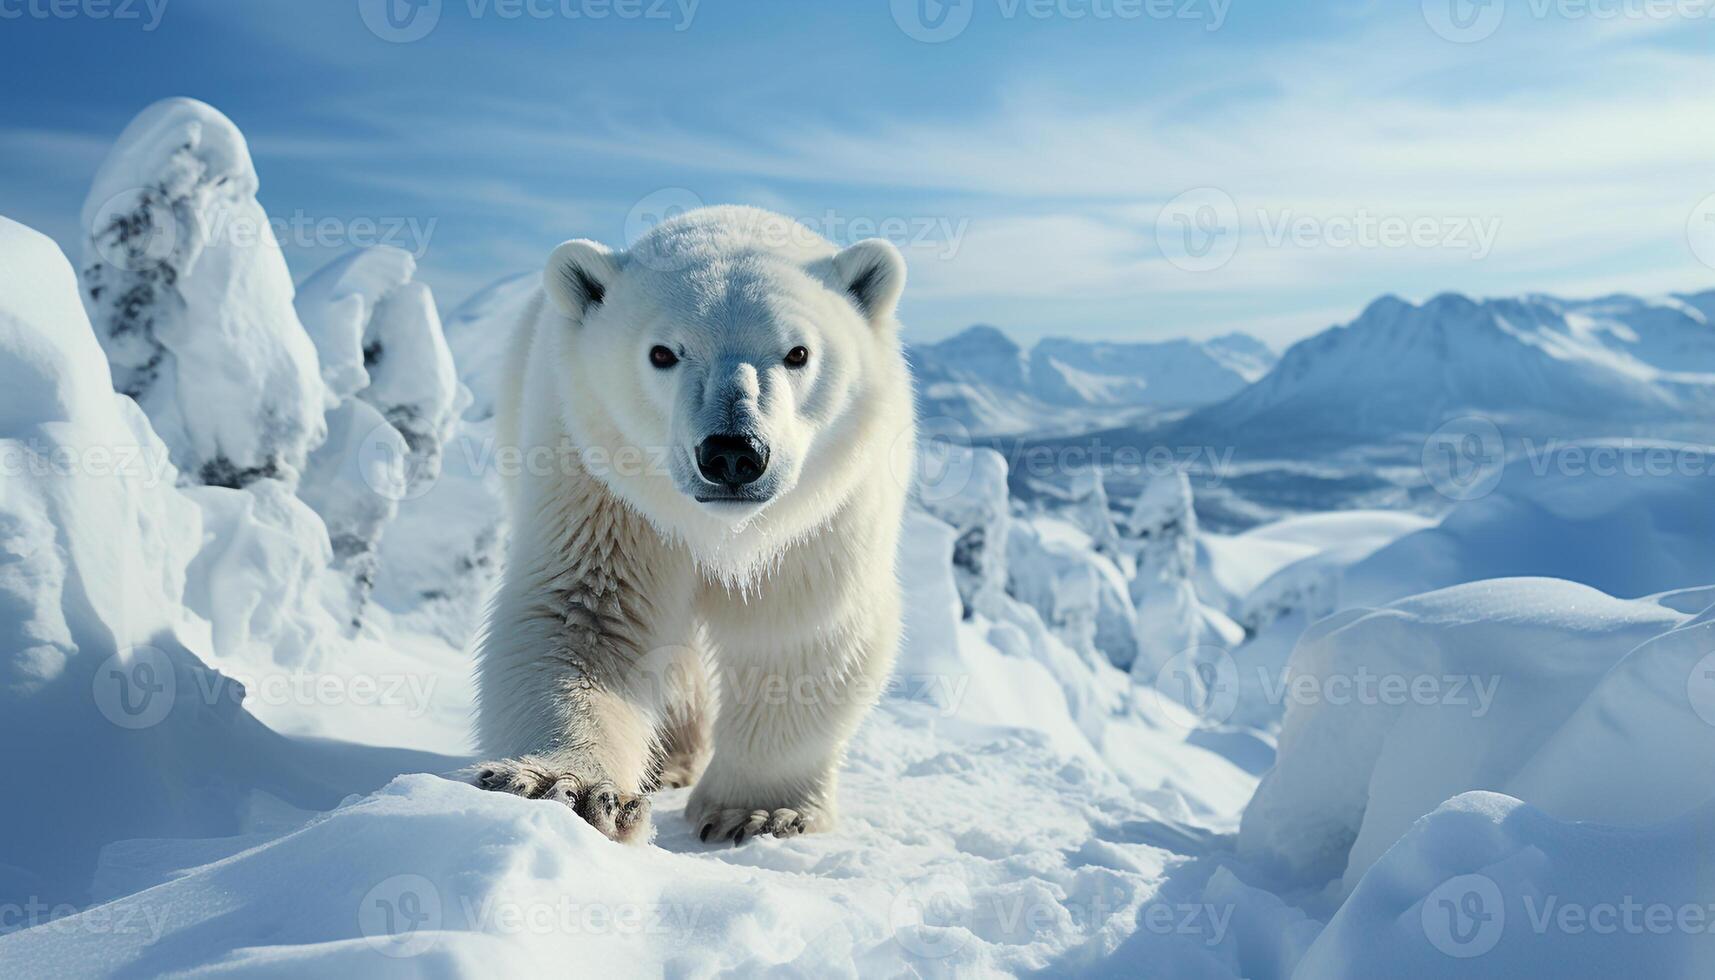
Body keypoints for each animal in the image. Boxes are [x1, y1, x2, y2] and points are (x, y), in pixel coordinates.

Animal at [473, 205, 912, 844]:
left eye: (798, 353)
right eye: (663, 352)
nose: (732, 453)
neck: (721, 530)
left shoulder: (819, 521)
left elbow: (800, 631)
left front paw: (758, 812)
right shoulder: (602, 486)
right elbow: (586, 613)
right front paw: (568, 788)